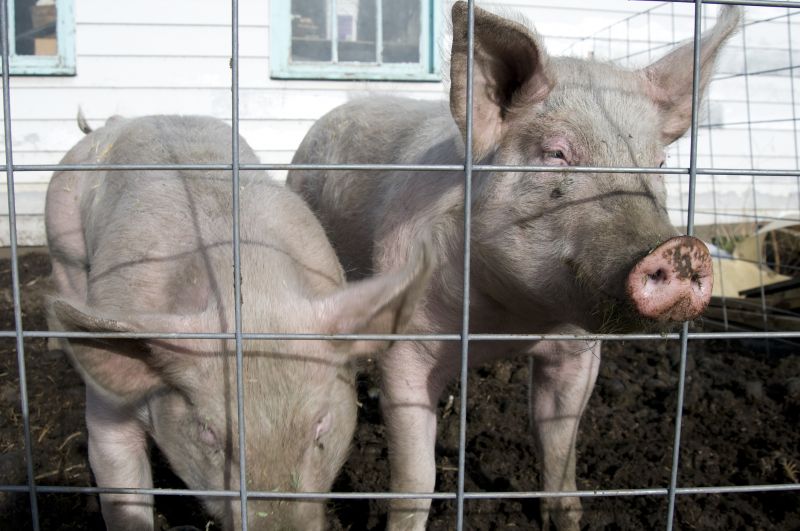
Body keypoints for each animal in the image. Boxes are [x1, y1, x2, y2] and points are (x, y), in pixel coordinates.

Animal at [287, 3, 739, 530]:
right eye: (557, 153)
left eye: (660, 163)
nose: (681, 249)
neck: (509, 322)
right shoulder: (408, 346)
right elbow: (418, 475)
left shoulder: (578, 349)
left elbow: (559, 443)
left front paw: (566, 518)